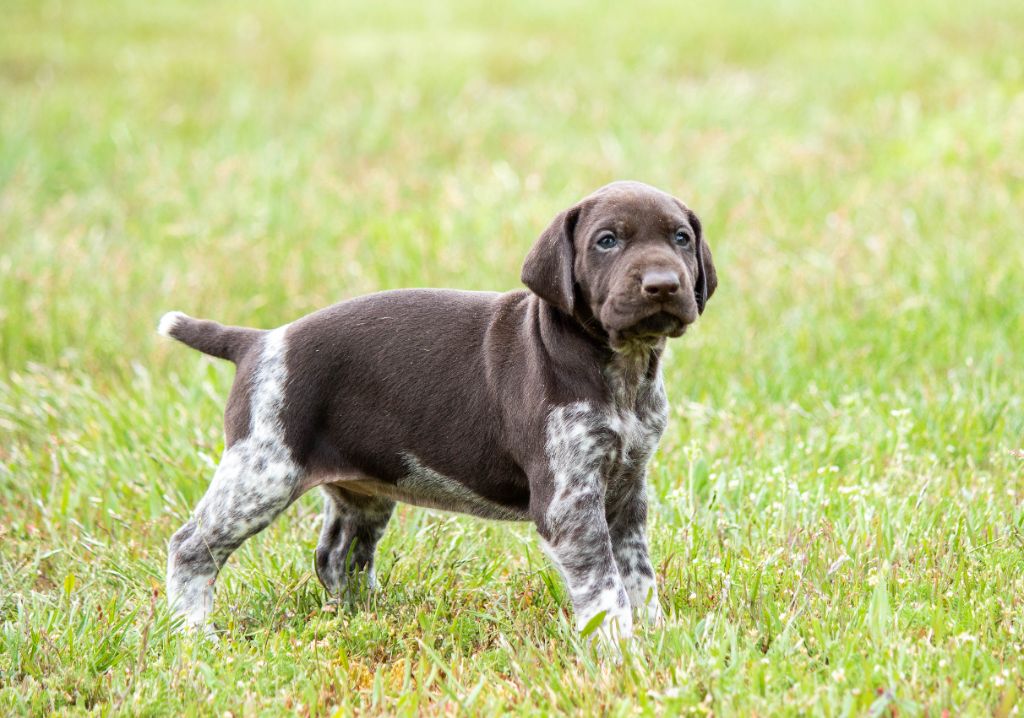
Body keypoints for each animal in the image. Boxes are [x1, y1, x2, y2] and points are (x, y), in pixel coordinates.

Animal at [161, 179, 720, 643]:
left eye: (680, 238)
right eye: (607, 241)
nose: (663, 284)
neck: (621, 369)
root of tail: (258, 341)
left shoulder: (626, 490)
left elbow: (638, 575)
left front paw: (656, 636)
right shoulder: (570, 500)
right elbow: (605, 586)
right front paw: (620, 649)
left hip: (362, 491)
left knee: (337, 557)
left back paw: (367, 618)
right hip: (262, 474)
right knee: (191, 546)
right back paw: (192, 633)